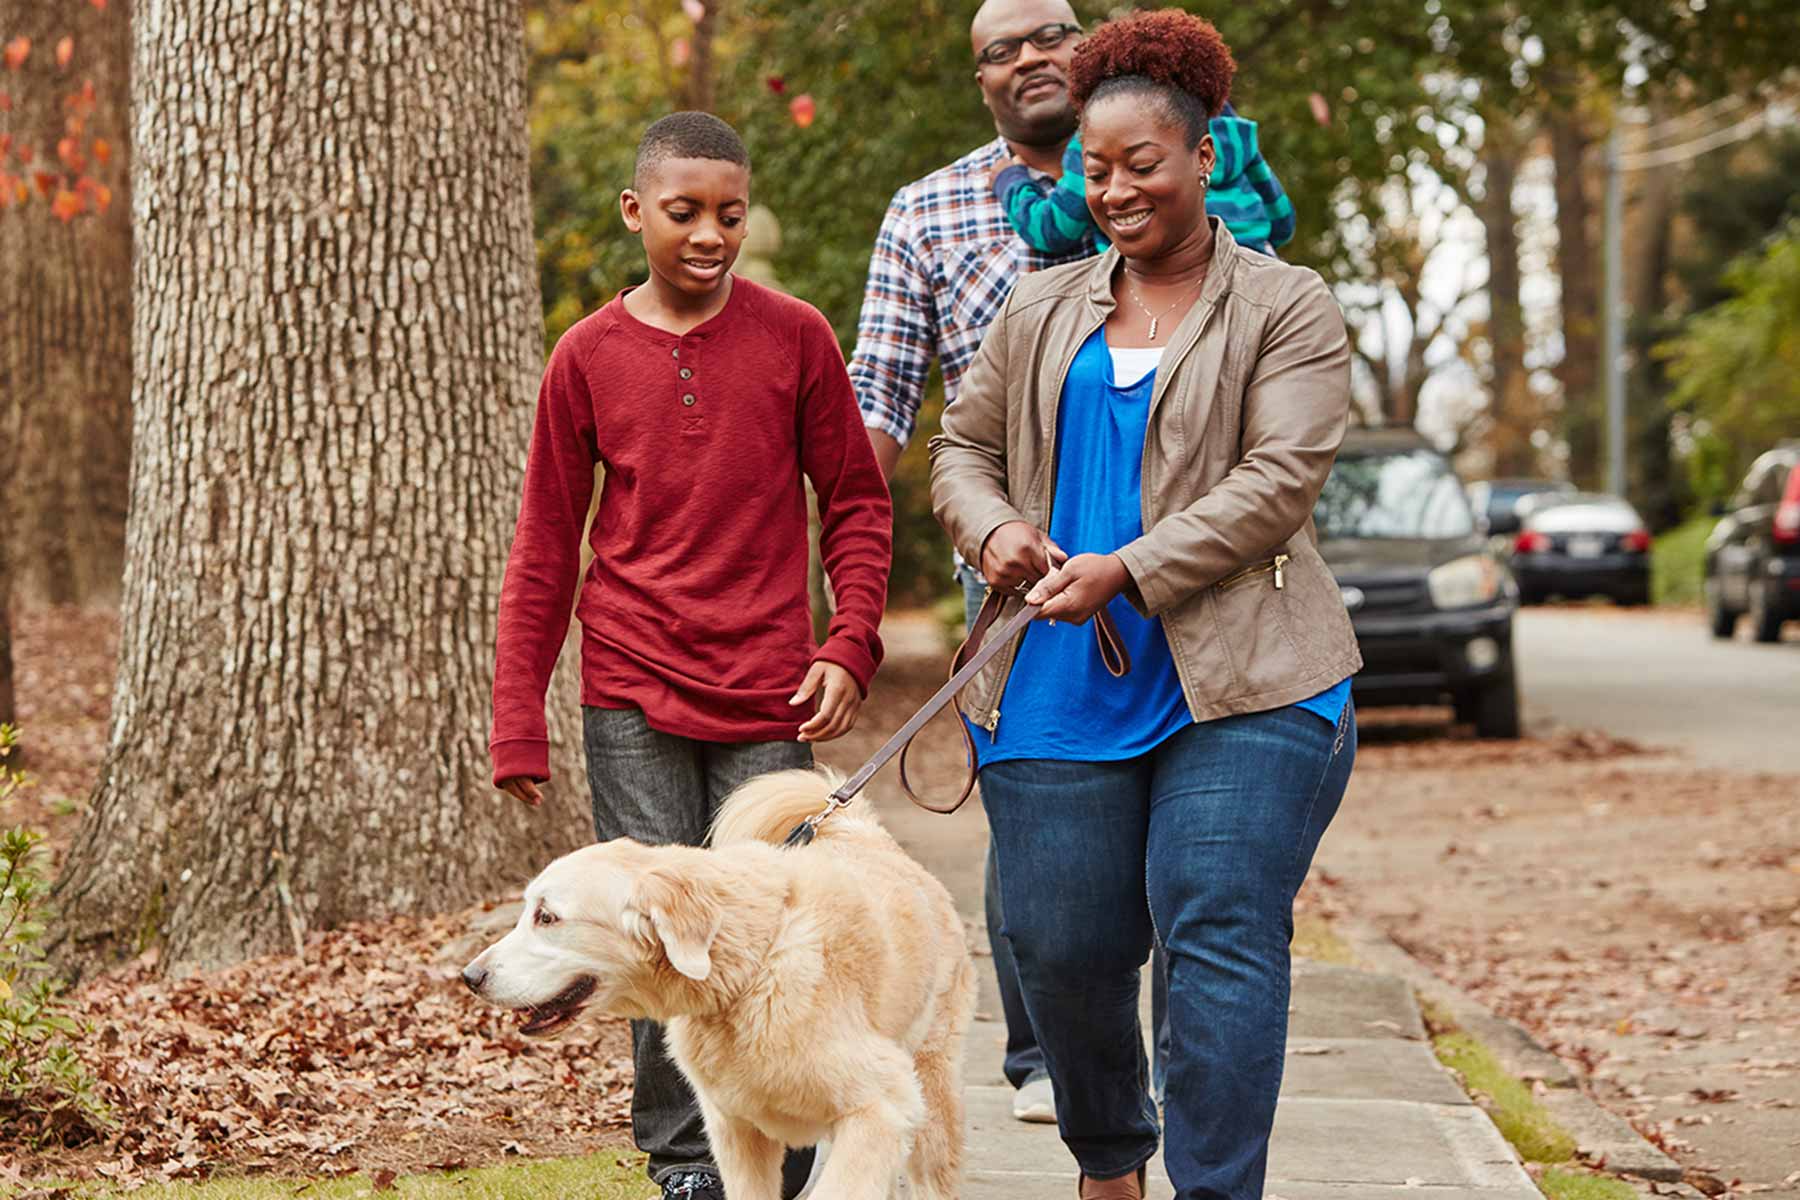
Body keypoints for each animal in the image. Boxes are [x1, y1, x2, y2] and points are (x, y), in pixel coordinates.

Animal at [460, 770, 972, 1200]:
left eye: (547, 917)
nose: (470, 977)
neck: (751, 970)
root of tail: (863, 833)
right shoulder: (737, 1131)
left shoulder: (881, 1107)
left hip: (929, 1097)